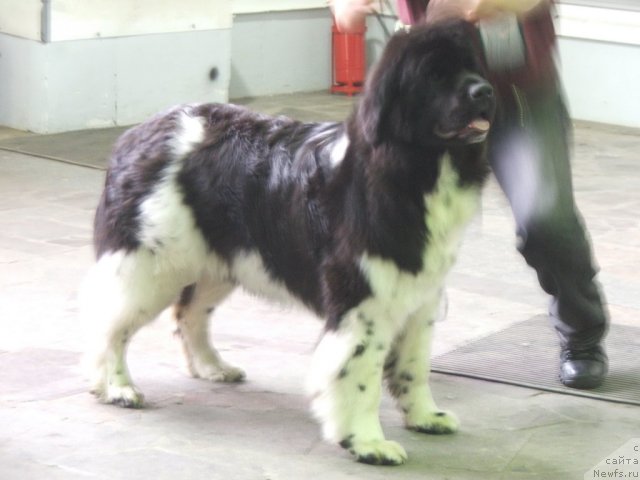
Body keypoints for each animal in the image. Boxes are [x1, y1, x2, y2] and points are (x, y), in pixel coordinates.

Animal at [82, 19, 496, 464]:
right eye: (435, 75)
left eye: (474, 69)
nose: (485, 92)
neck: (417, 169)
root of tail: (136, 135)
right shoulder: (363, 298)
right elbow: (359, 373)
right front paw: (368, 442)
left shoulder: (419, 295)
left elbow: (413, 366)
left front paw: (426, 417)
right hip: (150, 266)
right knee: (110, 324)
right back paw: (118, 387)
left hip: (216, 259)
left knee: (190, 314)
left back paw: (213, 367)